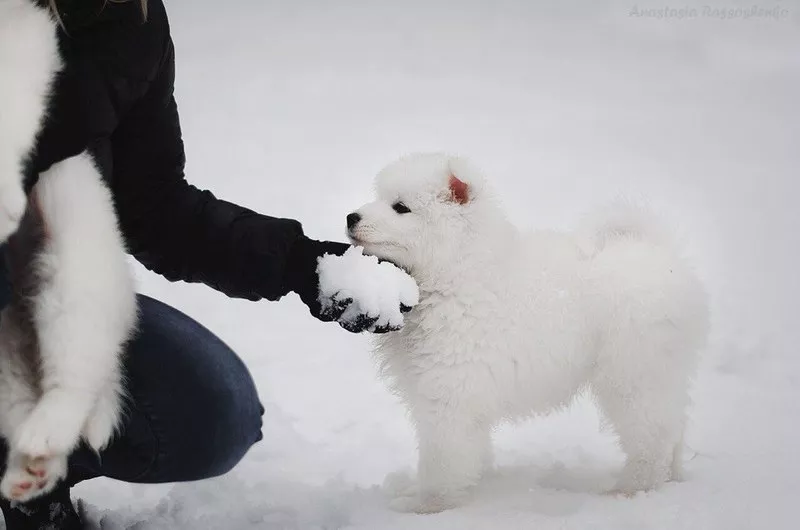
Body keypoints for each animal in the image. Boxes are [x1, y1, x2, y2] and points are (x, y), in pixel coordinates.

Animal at [346, 152, 708, 512]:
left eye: (401, 207)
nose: (351, 217)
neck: (454, 275)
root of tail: (660, 253)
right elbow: (469, 449)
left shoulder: (448, 397)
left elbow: (441, 459)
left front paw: (427, 505)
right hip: (661, 373)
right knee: (673, 425)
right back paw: (671, 477)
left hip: (634, 373)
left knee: (652, 435)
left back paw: (632, 488)